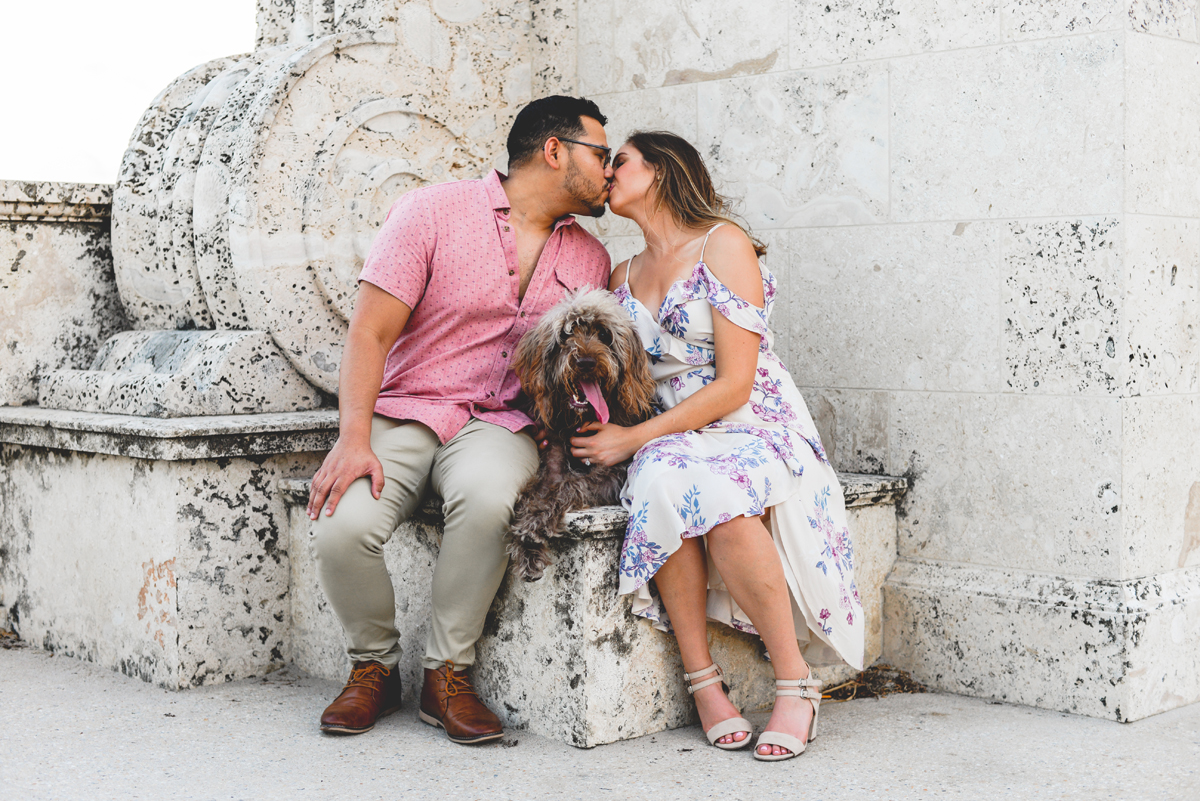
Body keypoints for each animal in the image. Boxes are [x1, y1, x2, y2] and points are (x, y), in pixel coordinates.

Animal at [506, 287, 657, 582]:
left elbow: (569, 486)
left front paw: (532, 528)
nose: (586, 362)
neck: (579, 422)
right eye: (566, 335)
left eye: (604, 335)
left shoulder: (611, 474)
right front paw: (528, 544)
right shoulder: (550, 465)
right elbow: (540, 490)